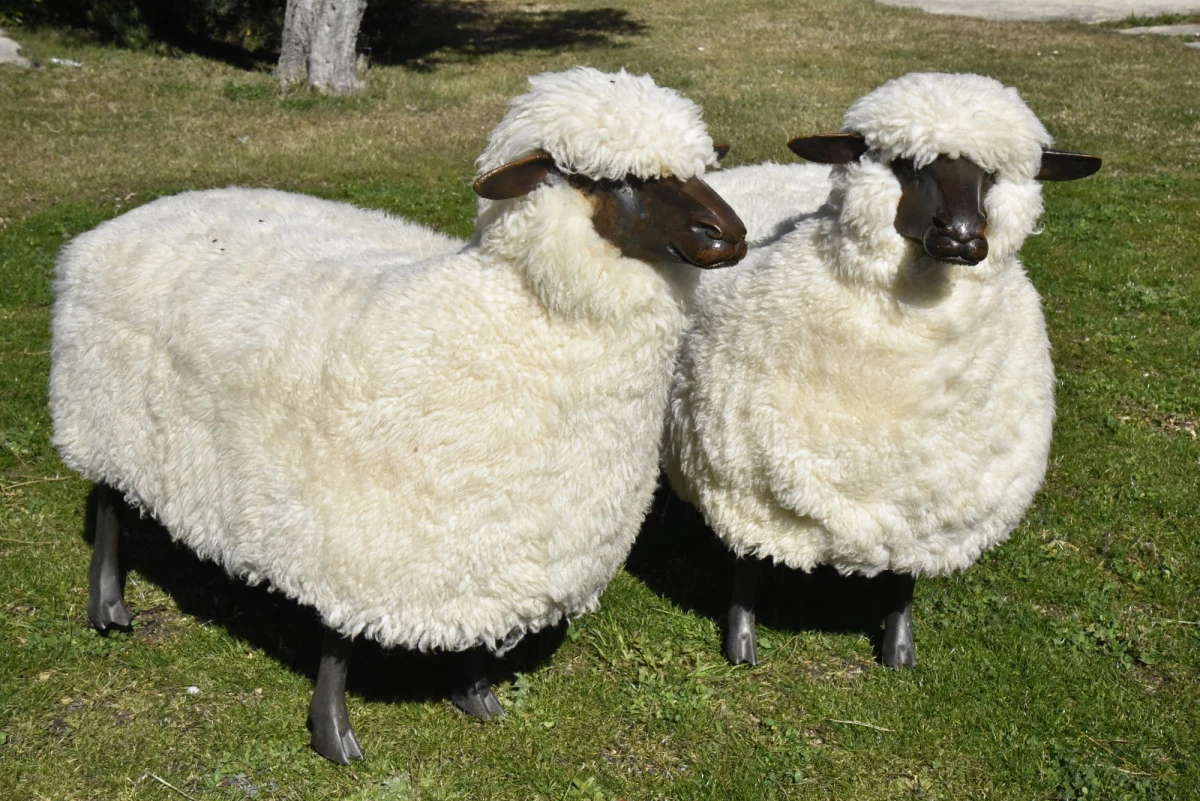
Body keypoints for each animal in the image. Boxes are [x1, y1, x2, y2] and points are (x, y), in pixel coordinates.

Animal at [50, 66, 747, 763]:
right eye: (607, 178)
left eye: (695, 168)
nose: (729, 234)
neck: (516, 312)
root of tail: (136, 215)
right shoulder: (359, 543)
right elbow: (338, 643)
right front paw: (333, 735)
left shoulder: (486, 548)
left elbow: (472, 631)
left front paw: (476, 698)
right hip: (105, 422)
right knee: (109, 508)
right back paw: (107, 607)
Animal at [664, 72, 1100, 670]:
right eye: (905, 164)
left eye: (990, 174)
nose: (962, 235)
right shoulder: (745, 486)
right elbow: (748, 563)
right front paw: (741, 641)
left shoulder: (920, 510)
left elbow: (902, 579)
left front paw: (899, 646)